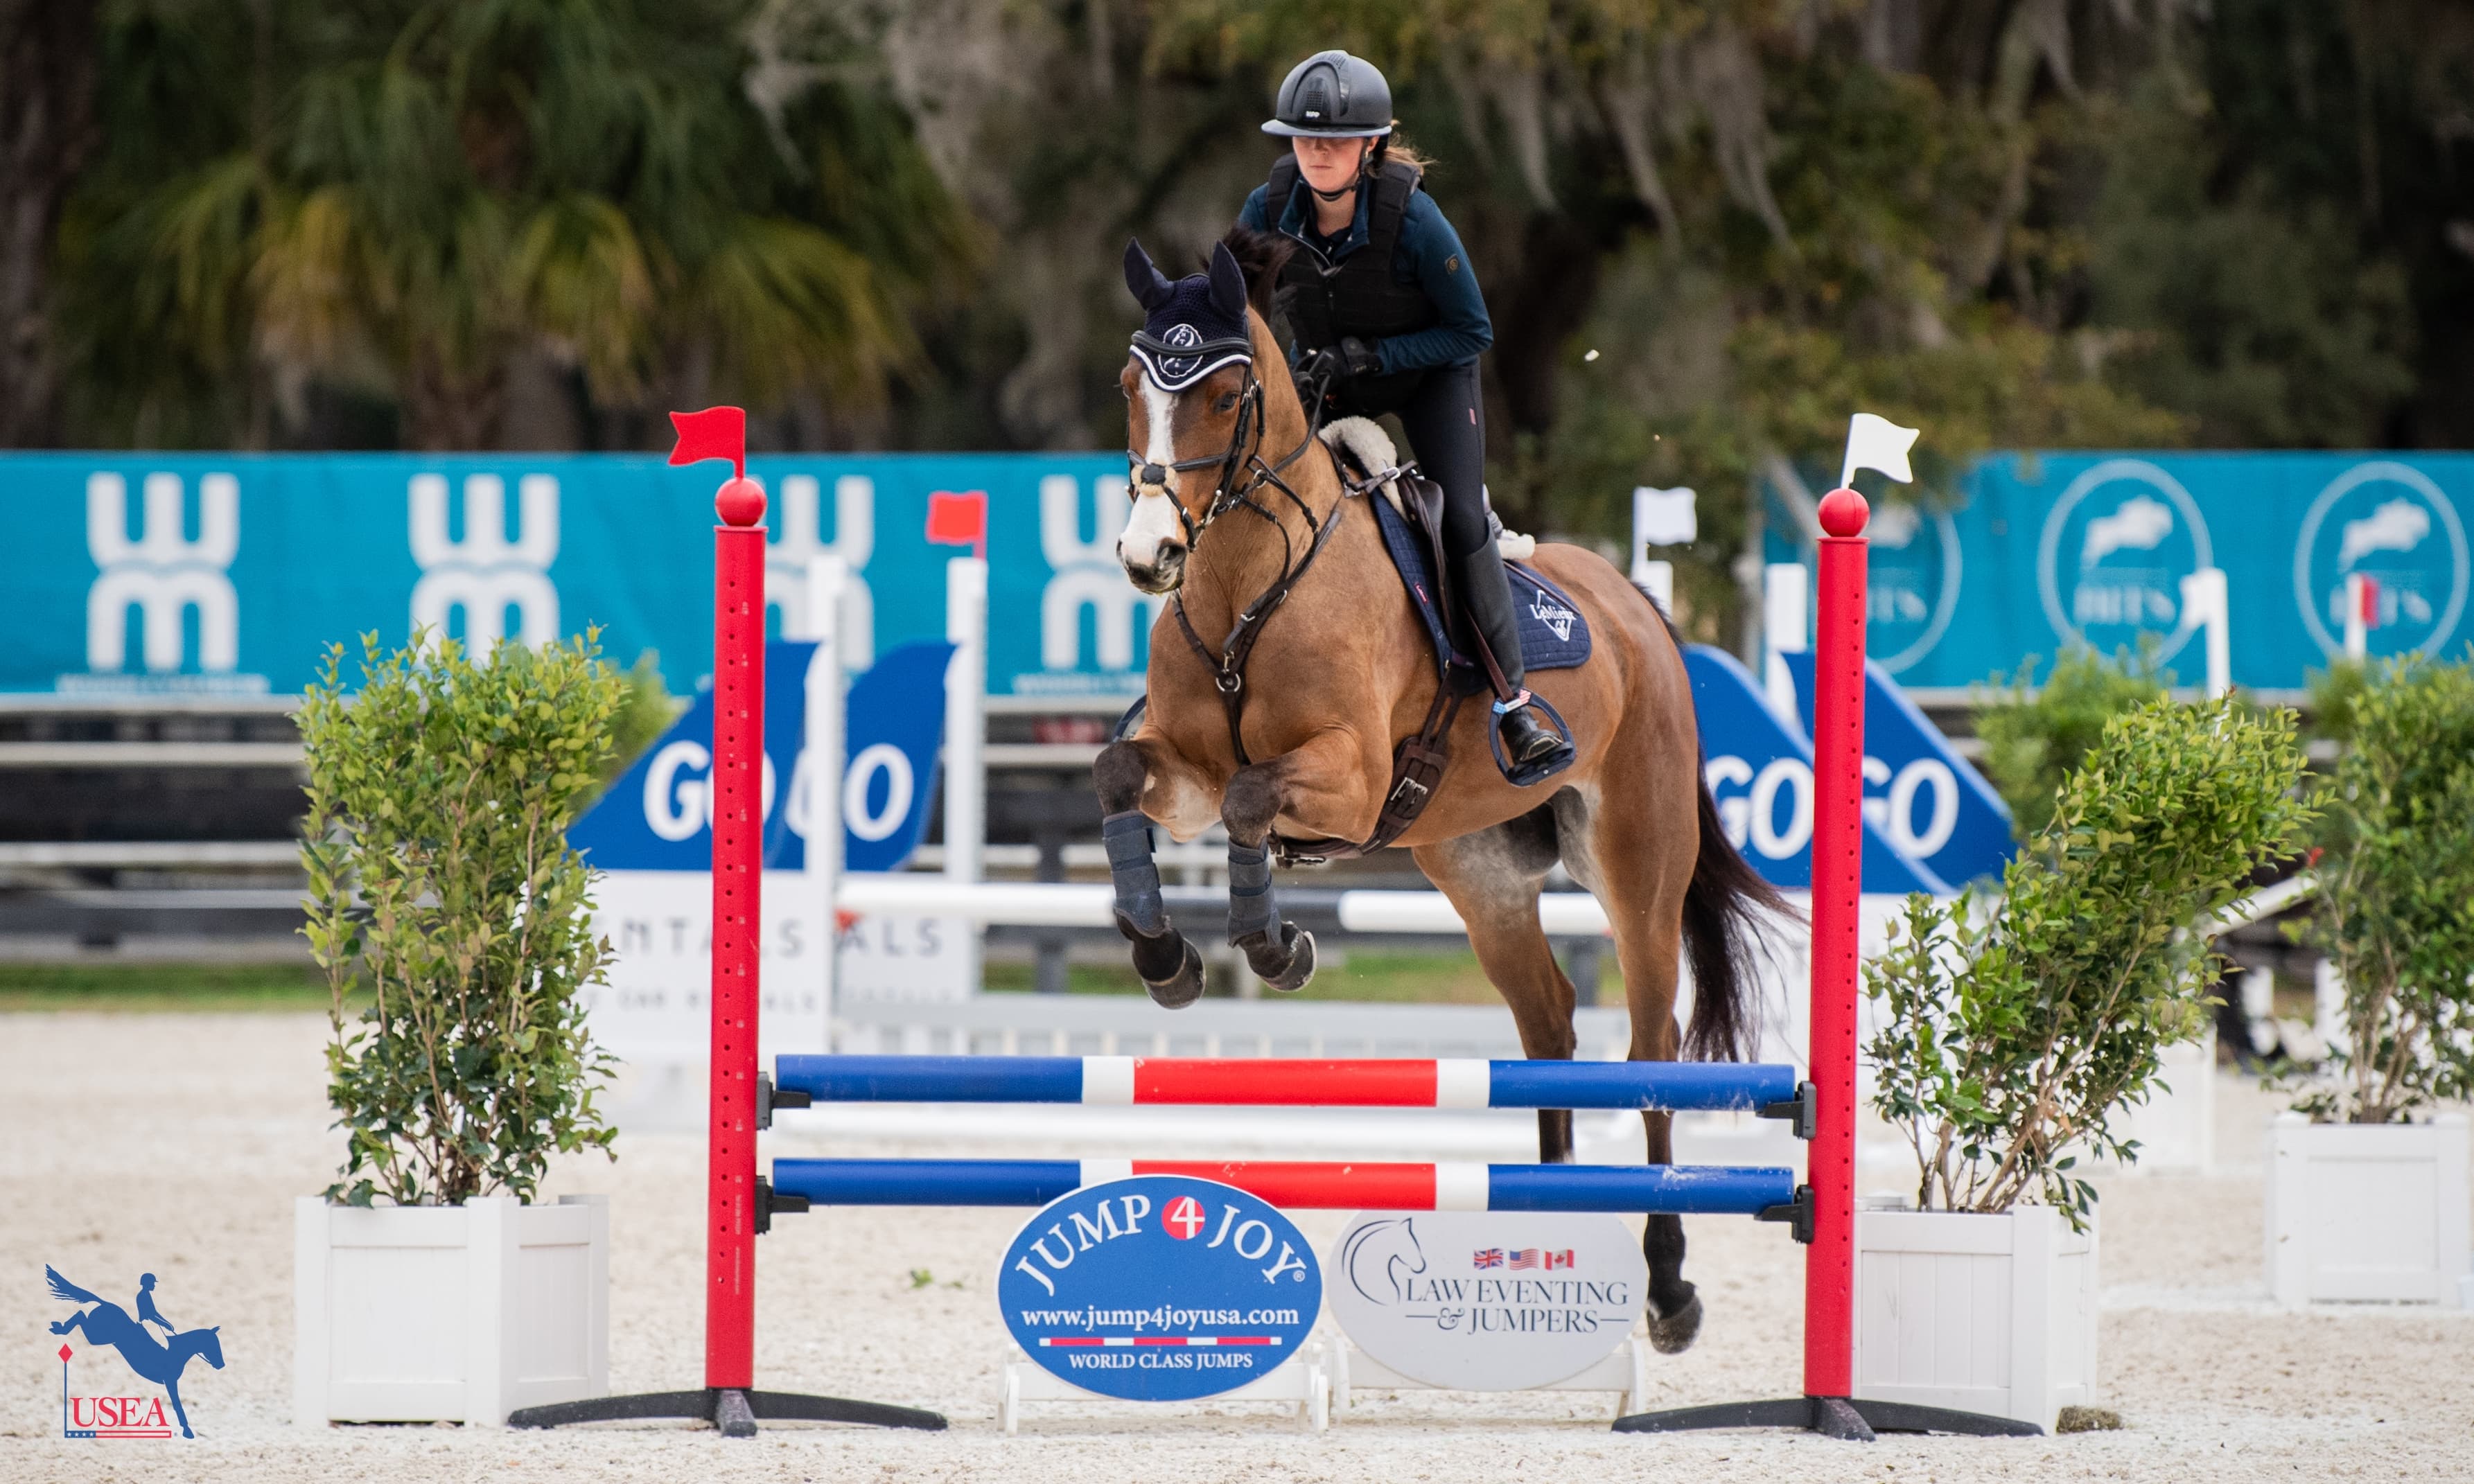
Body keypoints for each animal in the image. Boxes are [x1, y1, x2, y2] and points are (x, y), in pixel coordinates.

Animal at [47, 1266, 224, 1438]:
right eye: (213, 1345)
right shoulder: (170, 1381)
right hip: (97, 1337)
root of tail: (105, 1303)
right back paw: (59, 1328)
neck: (176, 1352)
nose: (221, 1365)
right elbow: (177, 1405)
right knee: (80, 1315)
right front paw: (188, 1431)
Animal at [1092, 232, 1789, 1352]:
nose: (1147, 554)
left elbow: (1253, 800)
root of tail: (1637, 604)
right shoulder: (1183, 775)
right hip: (1479, 872)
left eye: (1225, 393)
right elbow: (1132, 777)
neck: (1247, 579)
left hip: (1637, 870)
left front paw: (1276, 948)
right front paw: (1168, 960)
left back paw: (1668, 1288)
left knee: (1650, 1048)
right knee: (1548, 1025)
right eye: (1131, 387)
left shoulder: (1347, 779)